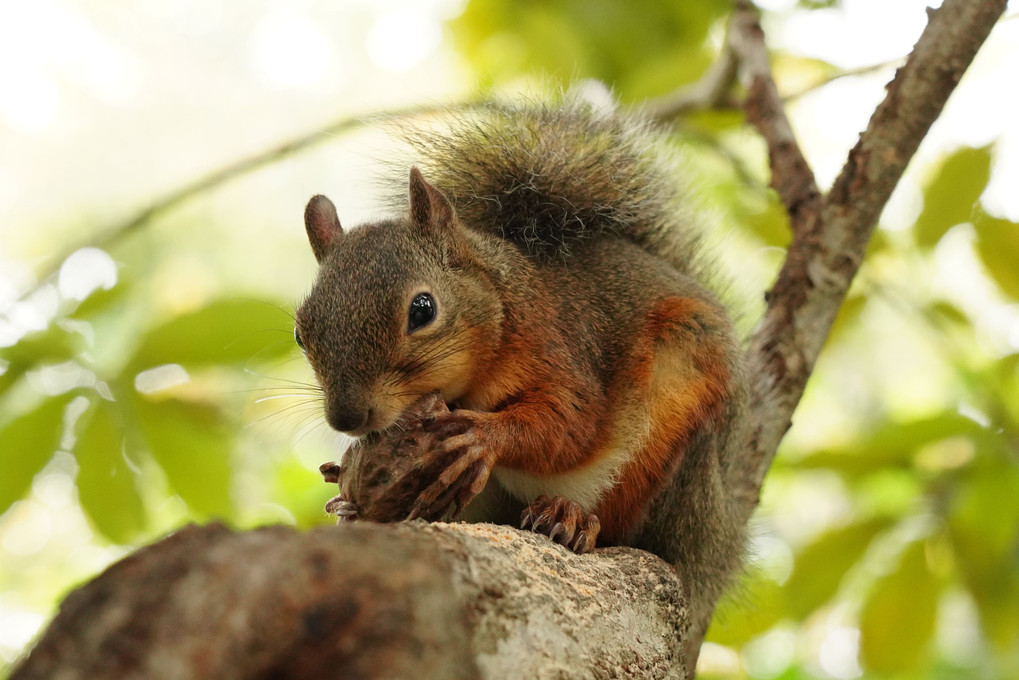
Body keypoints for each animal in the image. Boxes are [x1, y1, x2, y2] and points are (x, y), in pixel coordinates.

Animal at [293, 98, 749, 672]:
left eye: (422, 309)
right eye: (300, 331)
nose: (346, 418)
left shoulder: (559, 348)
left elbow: (570, 425)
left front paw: (481, 436)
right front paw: (346, 485)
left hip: (676, 432)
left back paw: (573, 518)